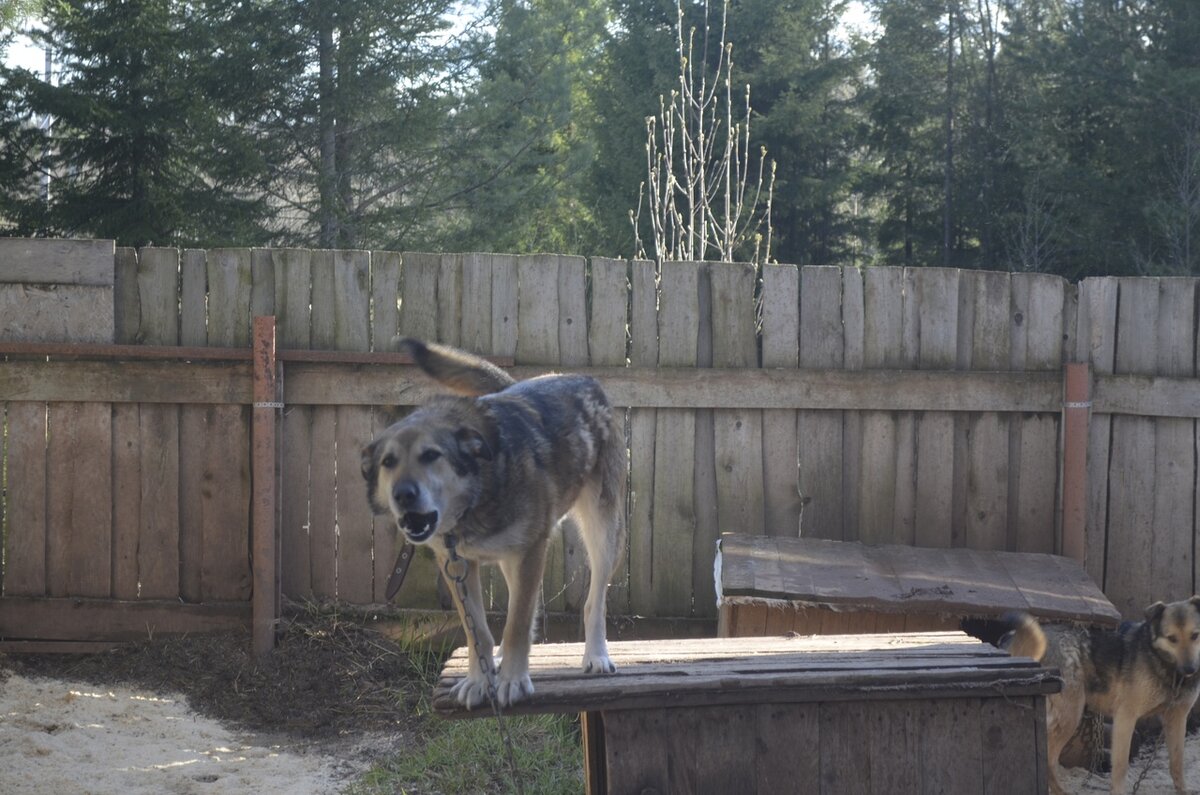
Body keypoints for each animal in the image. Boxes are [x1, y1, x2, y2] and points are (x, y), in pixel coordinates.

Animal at [360, 341, 628, 710]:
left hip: (603, 535)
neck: (476, 496)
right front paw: (479, 679)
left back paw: (596, 655)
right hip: (513, 559)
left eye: (431, 455)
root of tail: (580, 377)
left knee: (593, 602)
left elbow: (517, 624)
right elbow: (479, 631)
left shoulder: (531, 551)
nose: (403, 495)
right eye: (389, 462)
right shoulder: (457, 565)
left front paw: (513, 680)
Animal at [1003, 600, 1200, 792]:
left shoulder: (1177, 718)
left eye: (1195, 635)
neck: (1165, 665)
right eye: (1172, 638)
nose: (1190, 669)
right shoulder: (1125, 718)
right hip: (1069, 716)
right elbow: (1120, 767)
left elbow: (1177, 762)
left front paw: (1182, 790)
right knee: (1048, 758)